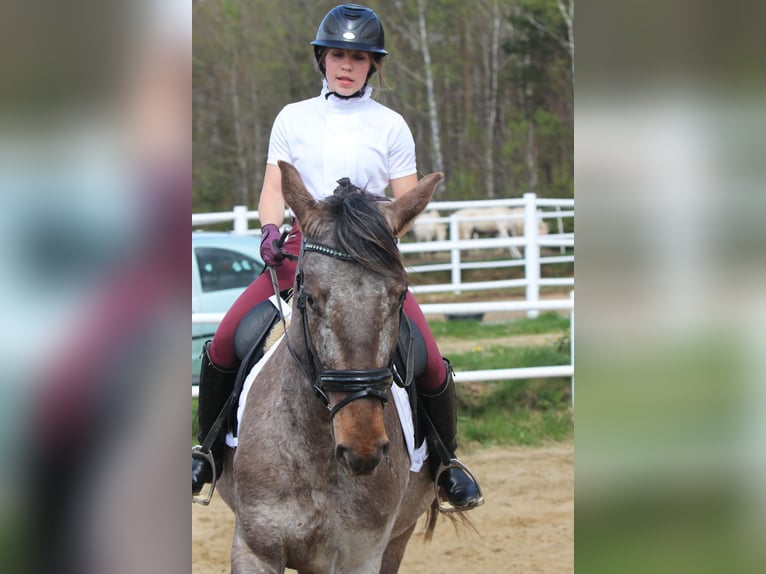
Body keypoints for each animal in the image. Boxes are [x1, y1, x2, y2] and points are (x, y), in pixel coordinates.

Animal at [216, 162, 444, 574]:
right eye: (309, 298)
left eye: (400, 295)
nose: (362, 445)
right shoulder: (254, 550)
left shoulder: (361, 557)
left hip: (398, 537)